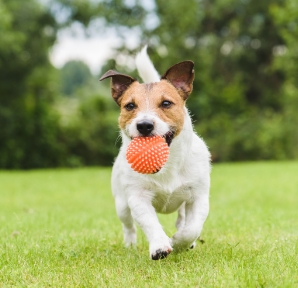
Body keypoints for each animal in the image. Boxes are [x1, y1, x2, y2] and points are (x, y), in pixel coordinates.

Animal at [99, 46, 211, 260]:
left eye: (166, 103)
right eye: (130, 106)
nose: (144, 125)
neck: (167, 165)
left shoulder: (198, 196)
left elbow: (192, 228)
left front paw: (180, 241)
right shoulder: (138, 197)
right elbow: (150, 223)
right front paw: (160, 246)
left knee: (182, 219)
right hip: (121, 204)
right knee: (128, 226)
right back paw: (130, 244)